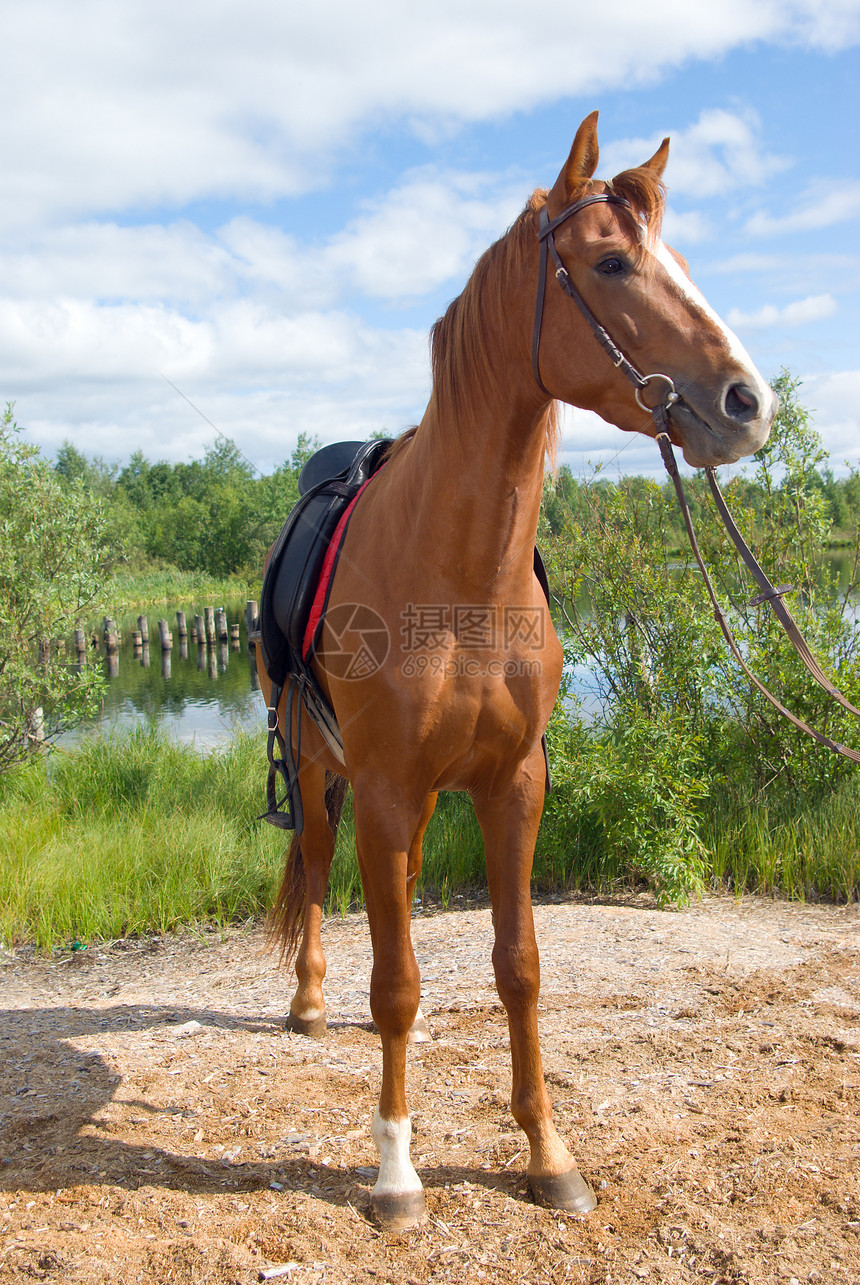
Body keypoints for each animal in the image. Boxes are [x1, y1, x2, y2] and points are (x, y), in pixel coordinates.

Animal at [258, 115, 776, 1228]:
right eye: (612, 262)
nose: (745, 403)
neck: (459, 577)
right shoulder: (384, 786)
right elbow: (399, 981)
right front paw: (395, 1170)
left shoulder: (512, 785)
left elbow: (518, 968)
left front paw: (546, 1153)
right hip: (319, 769)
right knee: (320, 871)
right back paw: (312, 1001)